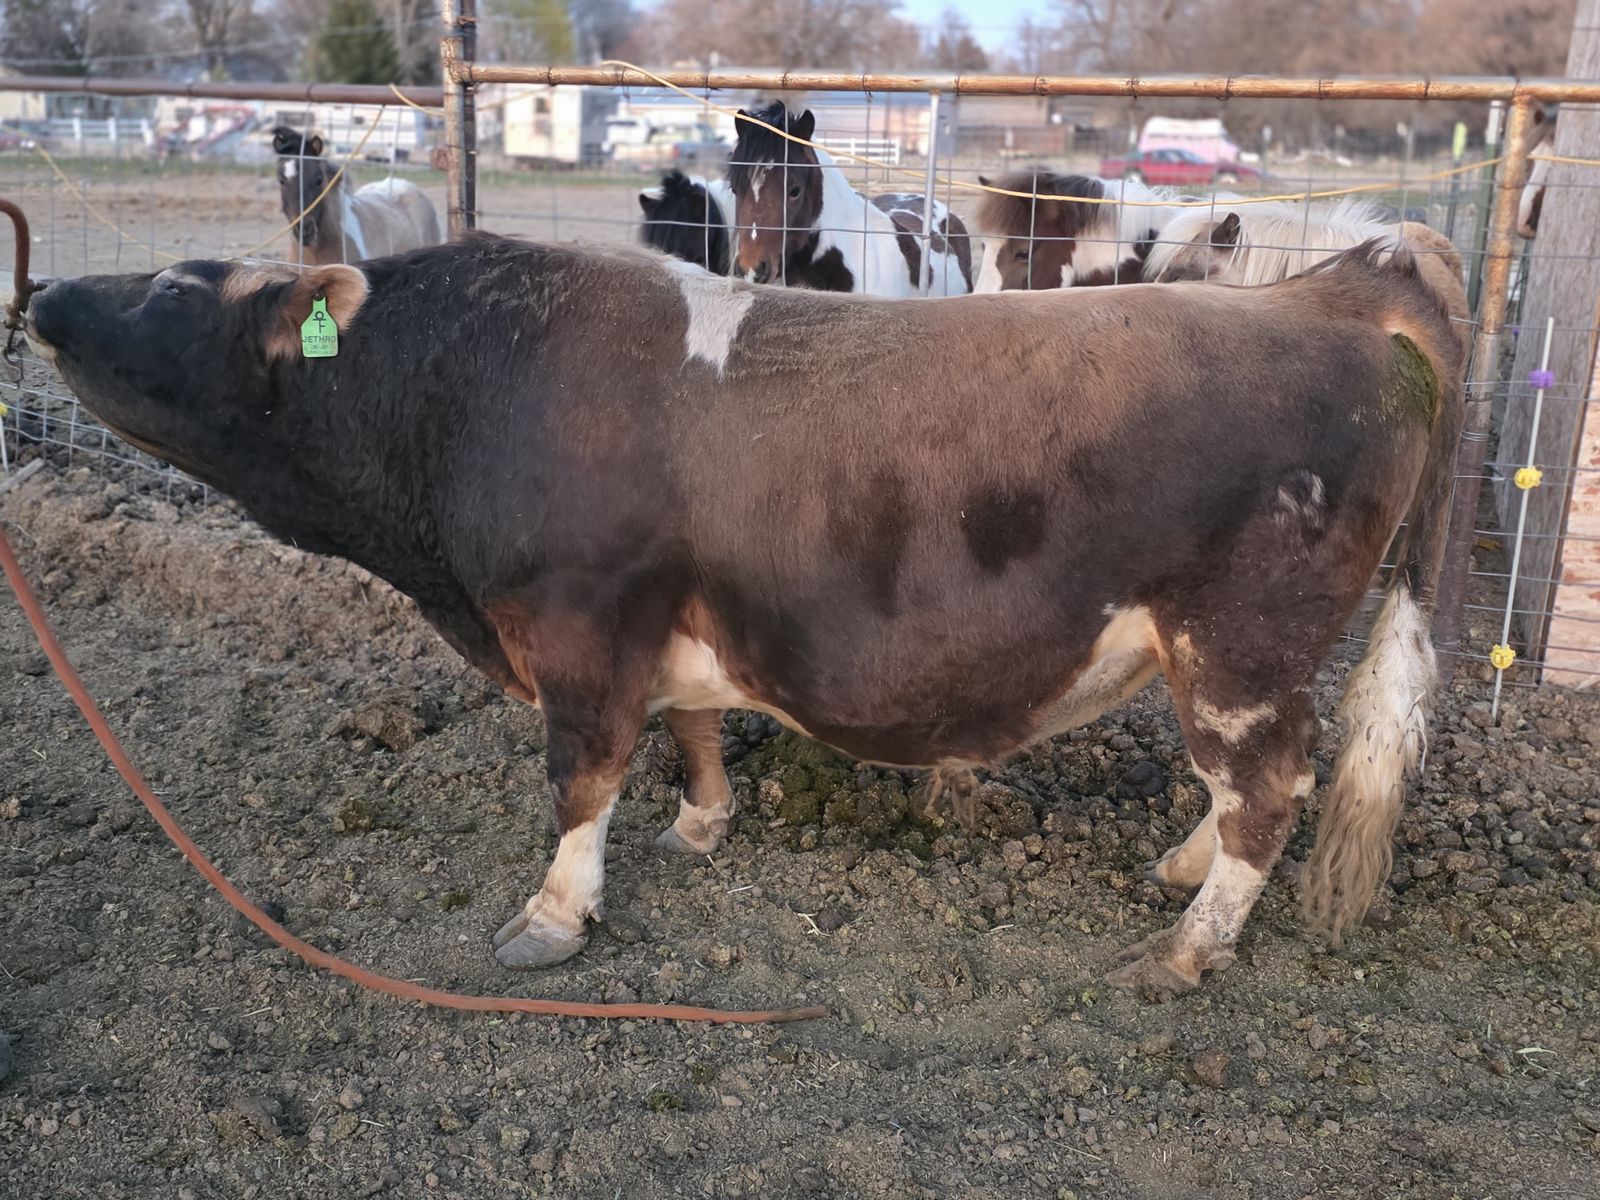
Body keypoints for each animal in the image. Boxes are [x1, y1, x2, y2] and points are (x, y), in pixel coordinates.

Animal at [23, 233, 1465, 993]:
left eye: (173, 289)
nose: (38, 296)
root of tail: (1338, 282)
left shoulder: (580, 624)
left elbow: (580, 777)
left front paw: (551, 919)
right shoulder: (663, 627)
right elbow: (691, 731)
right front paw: (701, 825)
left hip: (1241, 642)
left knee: (1267, 789)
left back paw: (1185, 944)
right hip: (1222, 654)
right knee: (1257, 784)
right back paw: (1178, 867)